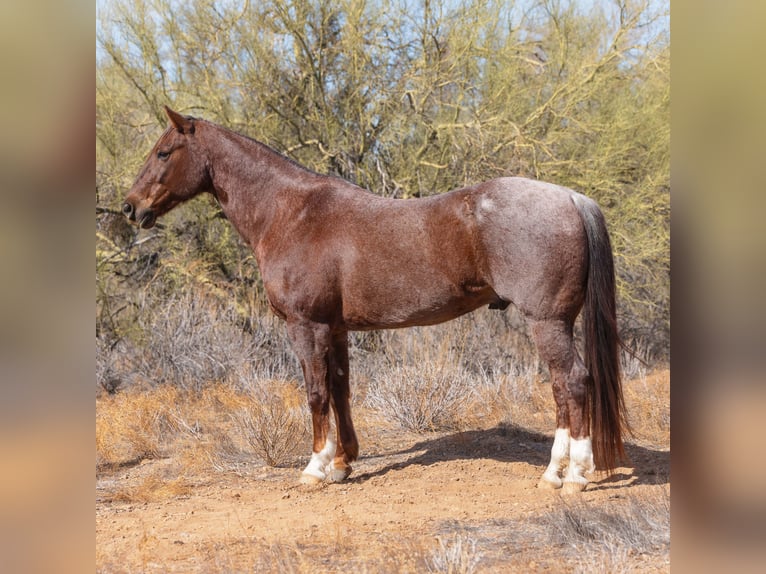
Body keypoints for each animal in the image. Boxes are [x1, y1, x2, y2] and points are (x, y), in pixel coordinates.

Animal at [123, 107, 628, 496]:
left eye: (163, 152)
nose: (130, 207)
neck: (293, 214)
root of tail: (571, 197)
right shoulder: (336, 328)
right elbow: (341, 389)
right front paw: (343, 463)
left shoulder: (306, 326)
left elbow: (315, 392)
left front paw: (314, 468)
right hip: (554, 324)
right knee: (560, 389)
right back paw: (552, 474)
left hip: (547, 321)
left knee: (574, 383)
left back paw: (574, 476)